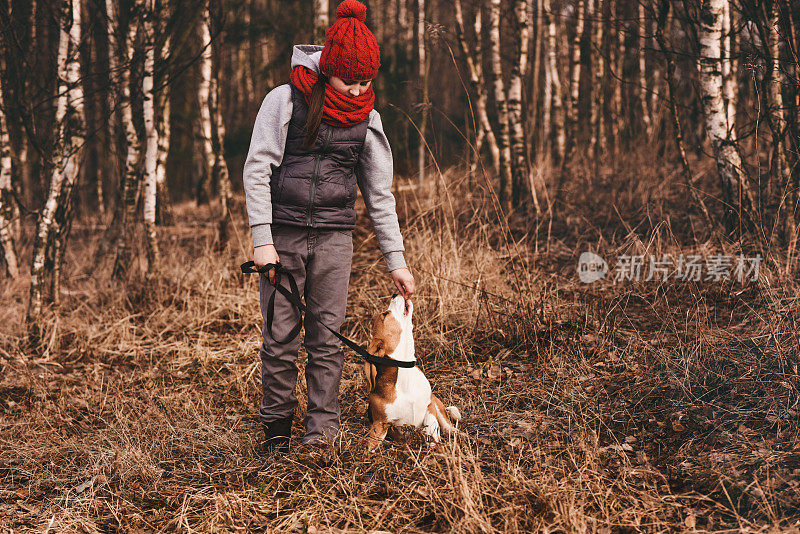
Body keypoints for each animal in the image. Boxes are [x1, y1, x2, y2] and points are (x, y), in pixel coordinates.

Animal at [364, 296, 462, 450]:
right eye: (385, 314)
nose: (394, 294)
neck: (405, 375)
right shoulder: (380, 424)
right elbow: (372, 444)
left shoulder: (429, 406)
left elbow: (431, 424)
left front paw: (433, 441)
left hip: (437, 404)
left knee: (446, 424)